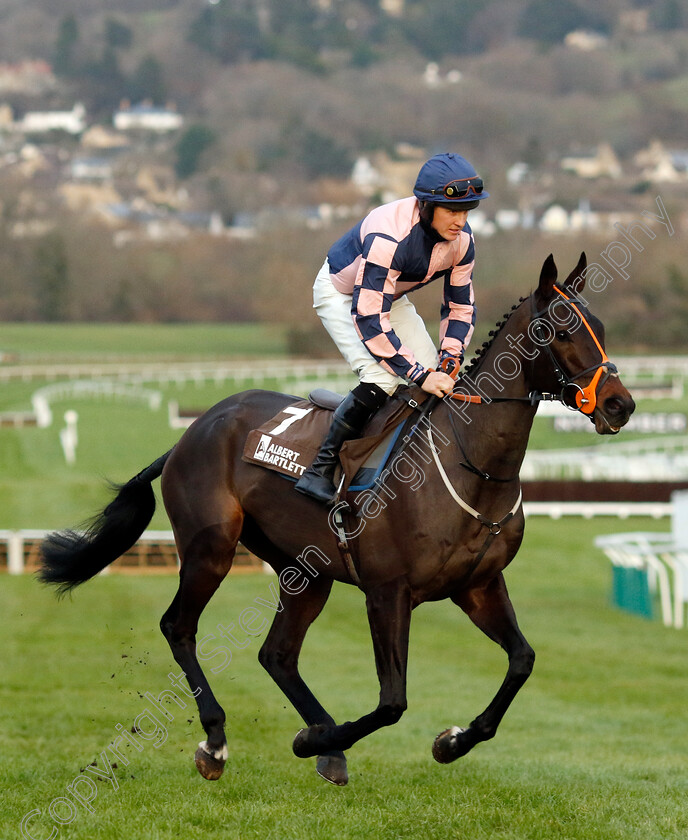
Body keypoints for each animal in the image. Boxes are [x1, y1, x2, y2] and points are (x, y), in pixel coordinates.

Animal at [40, 253, 636, 784]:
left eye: (603, 328)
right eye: (559, 330)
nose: (620, 405)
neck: (472, 463)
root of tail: (193, 432)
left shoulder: (479, 585)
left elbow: (522, 661)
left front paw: (450, 742)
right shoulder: (388, 591)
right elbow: (392, 701)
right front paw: (313, 741)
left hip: (307, 572)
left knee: (277, 654)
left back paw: (324, 742)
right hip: (211, 547)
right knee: (178, 627)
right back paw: (218, 740)